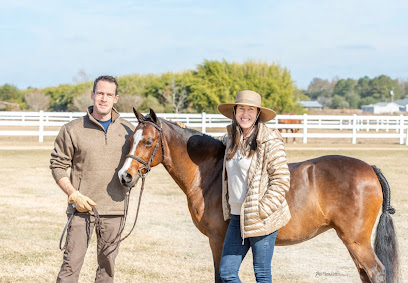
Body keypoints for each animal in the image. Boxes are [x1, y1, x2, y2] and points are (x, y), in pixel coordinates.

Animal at [117, 110, 398, 283]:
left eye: (148, 142)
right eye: (129, 140)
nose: (125, 176)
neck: (211, 173)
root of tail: (370, 168)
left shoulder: (217, 240)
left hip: (357, 242)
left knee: (376, 272)